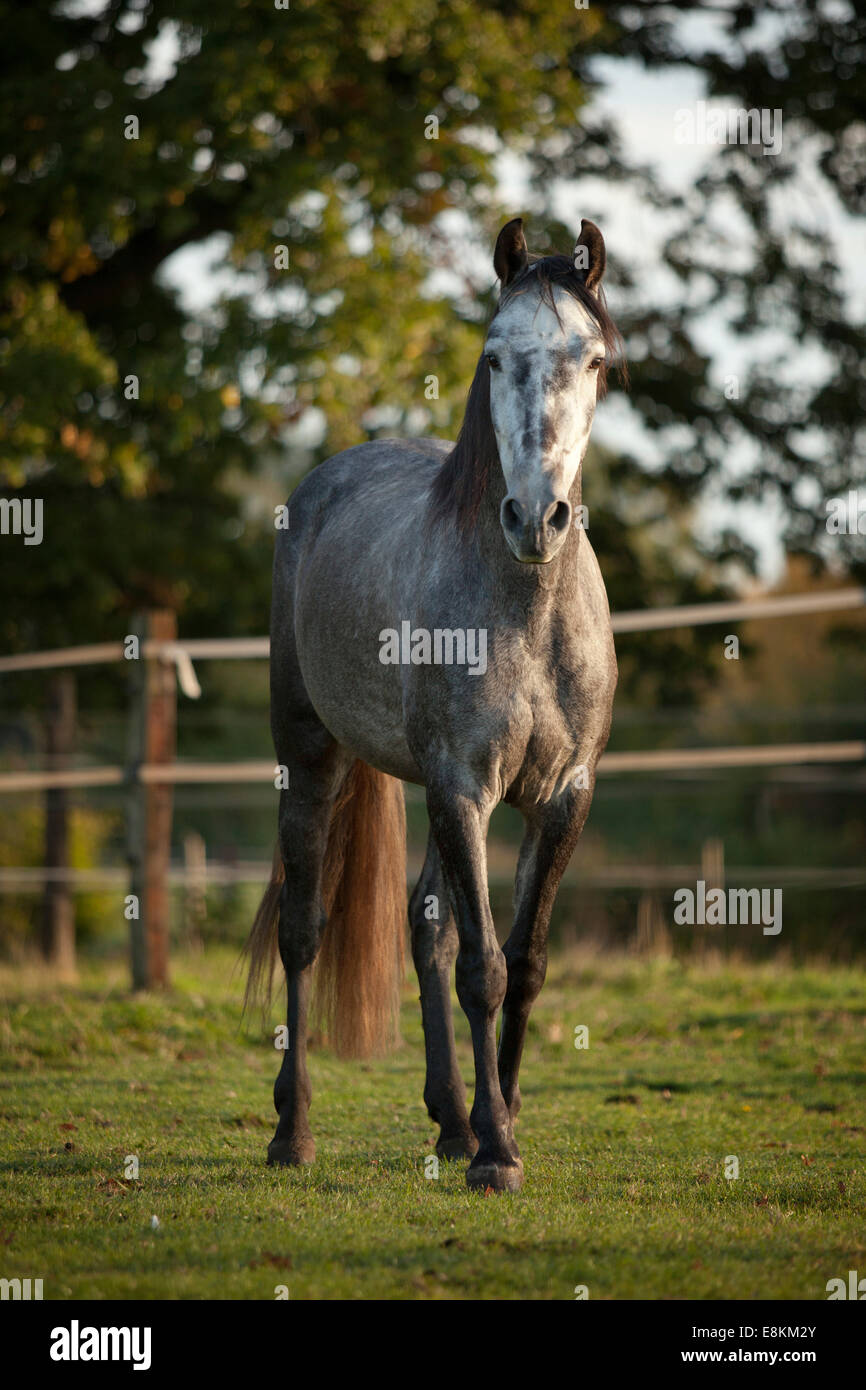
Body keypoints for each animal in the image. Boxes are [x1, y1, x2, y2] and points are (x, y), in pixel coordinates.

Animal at [246, 216, 622, 1195]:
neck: (527, 608)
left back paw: (451, 1120)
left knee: (426, 929)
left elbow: (523, 961)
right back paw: (293, 1134)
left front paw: (502, 1120)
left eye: (594, 359)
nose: (535, 517)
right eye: (493, 356)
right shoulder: (461, 788)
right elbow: (484, 970)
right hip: (311, 757)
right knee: (304, 930)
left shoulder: (561, 799)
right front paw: (497, 1155)